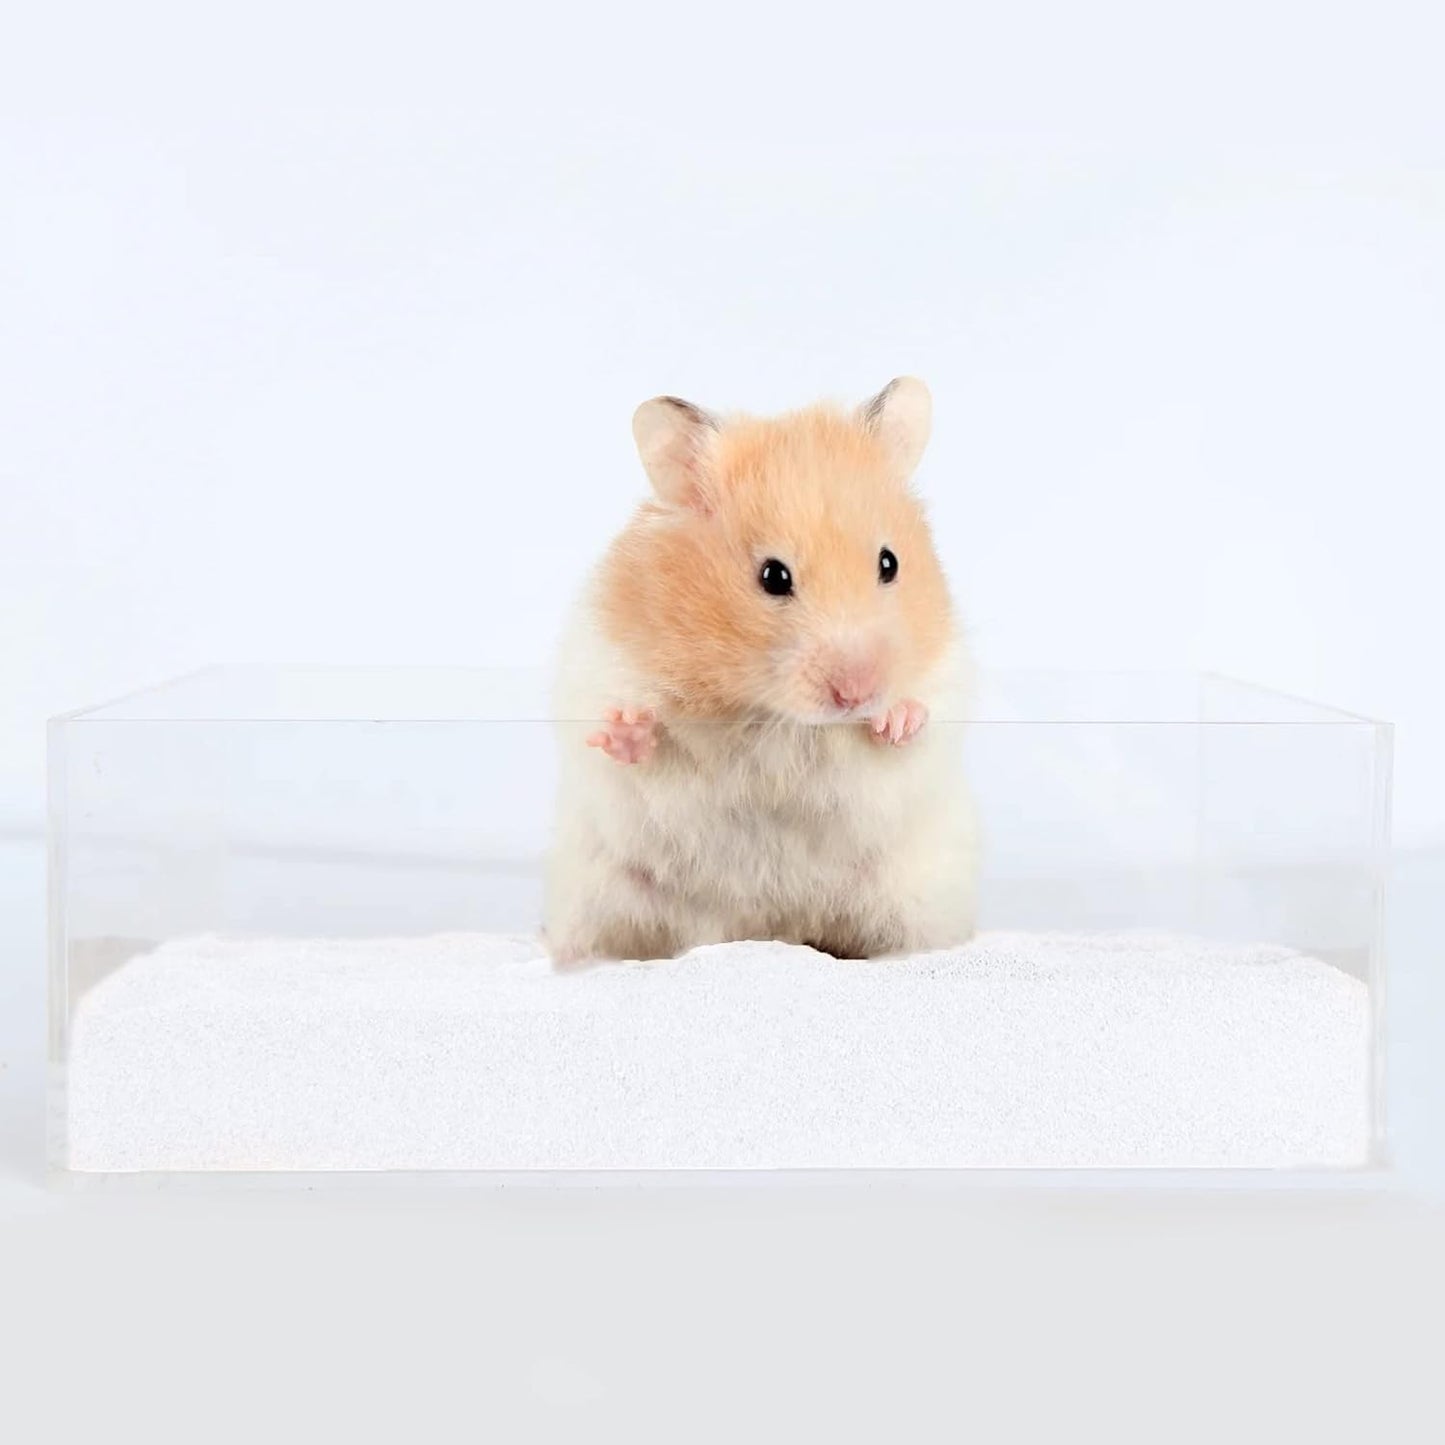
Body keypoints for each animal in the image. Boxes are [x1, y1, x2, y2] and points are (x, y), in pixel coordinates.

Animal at [542, 377, 978, 964]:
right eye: (773, 576)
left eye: (889, 563)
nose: (857, 693)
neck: (773, 715)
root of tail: (769, 928)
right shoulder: (600, 670)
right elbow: (638, 744)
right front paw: (627, 728)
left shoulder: (944, 685)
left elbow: (919, 729)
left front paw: (897, 719)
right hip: (599, 897)